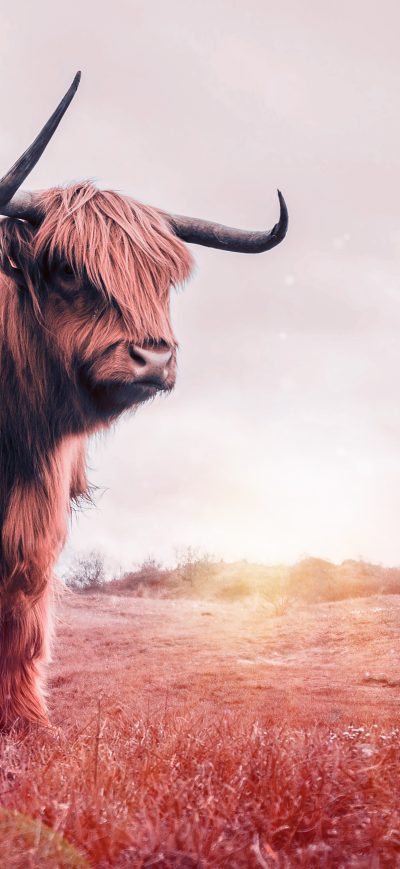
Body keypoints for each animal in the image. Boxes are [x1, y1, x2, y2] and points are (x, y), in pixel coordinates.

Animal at [0, 73, 288, 728]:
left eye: (161, 279)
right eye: (67, 270)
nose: (154, 359)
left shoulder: (40, 497)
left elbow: (23, 593)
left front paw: (25, 718)